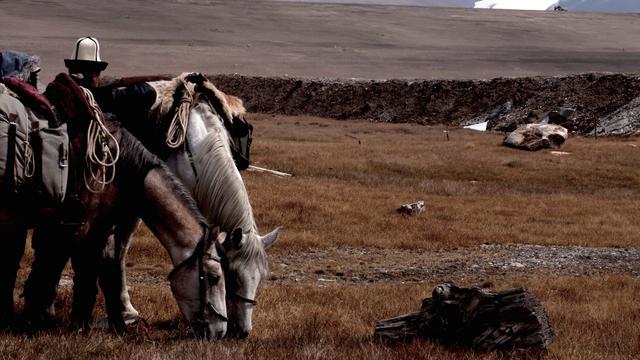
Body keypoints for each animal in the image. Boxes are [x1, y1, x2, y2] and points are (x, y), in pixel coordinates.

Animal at [0, 74, 229, 338]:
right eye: (214, 277)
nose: (220, 331)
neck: (118, 166)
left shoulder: (97, 227)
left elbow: (98, 270)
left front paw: (108, 323)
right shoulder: (77, 227)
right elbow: (63, 271)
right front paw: (47, 322)